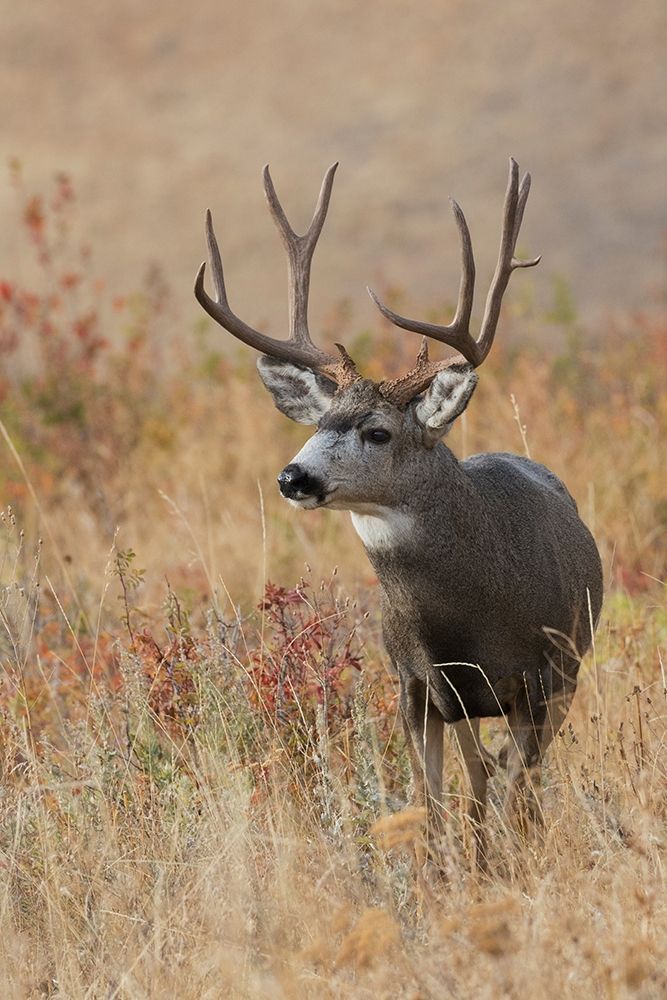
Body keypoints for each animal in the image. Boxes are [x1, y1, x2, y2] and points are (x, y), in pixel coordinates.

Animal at [195, 159, 603, 868]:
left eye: (378, 432)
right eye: (320, 422)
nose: (292, 477)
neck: (468, 618)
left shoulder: (542, 674)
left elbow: (511, 791)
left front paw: (507, 866)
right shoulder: (416, 687)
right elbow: (432, 804)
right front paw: (447, 875)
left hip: (563, 675)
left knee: (514, 781)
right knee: (478, 777)